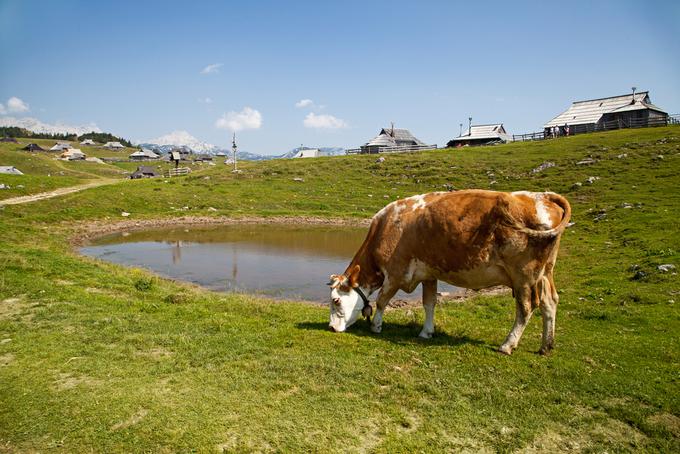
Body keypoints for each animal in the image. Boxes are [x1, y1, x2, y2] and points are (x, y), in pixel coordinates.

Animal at [326, 188, 572, 354]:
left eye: (336, 300)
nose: (330, 328)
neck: (386, 227)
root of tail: (541, 196)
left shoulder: (395, 274)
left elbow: (382, 300)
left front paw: (376, 326)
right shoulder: (428, 274)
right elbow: (429, 303)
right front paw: (426, 332)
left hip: (524, 276)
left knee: (526, 307)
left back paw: (507, 344)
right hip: (545, 273)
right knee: (550, 302)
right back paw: (546, 346)